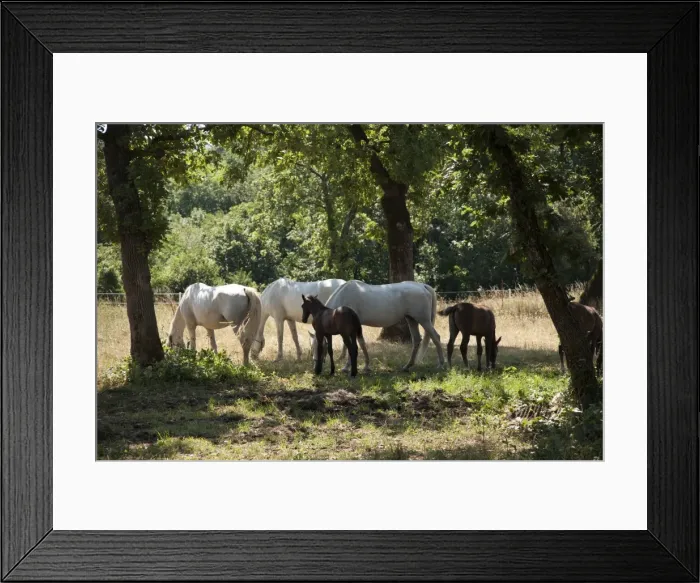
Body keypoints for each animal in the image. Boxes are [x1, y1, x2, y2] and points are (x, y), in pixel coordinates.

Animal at [311, 280, 444, 372]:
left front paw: (347, 367)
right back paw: (407, 366)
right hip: (411, 320)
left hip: (424, 320)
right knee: (417, 340)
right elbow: (361, 344)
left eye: (321, 347)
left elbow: (353, 345)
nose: (315, 368)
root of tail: (422, 286)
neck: (344, 297)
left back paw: (441, 365)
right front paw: (366, 366)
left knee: (436, 337)